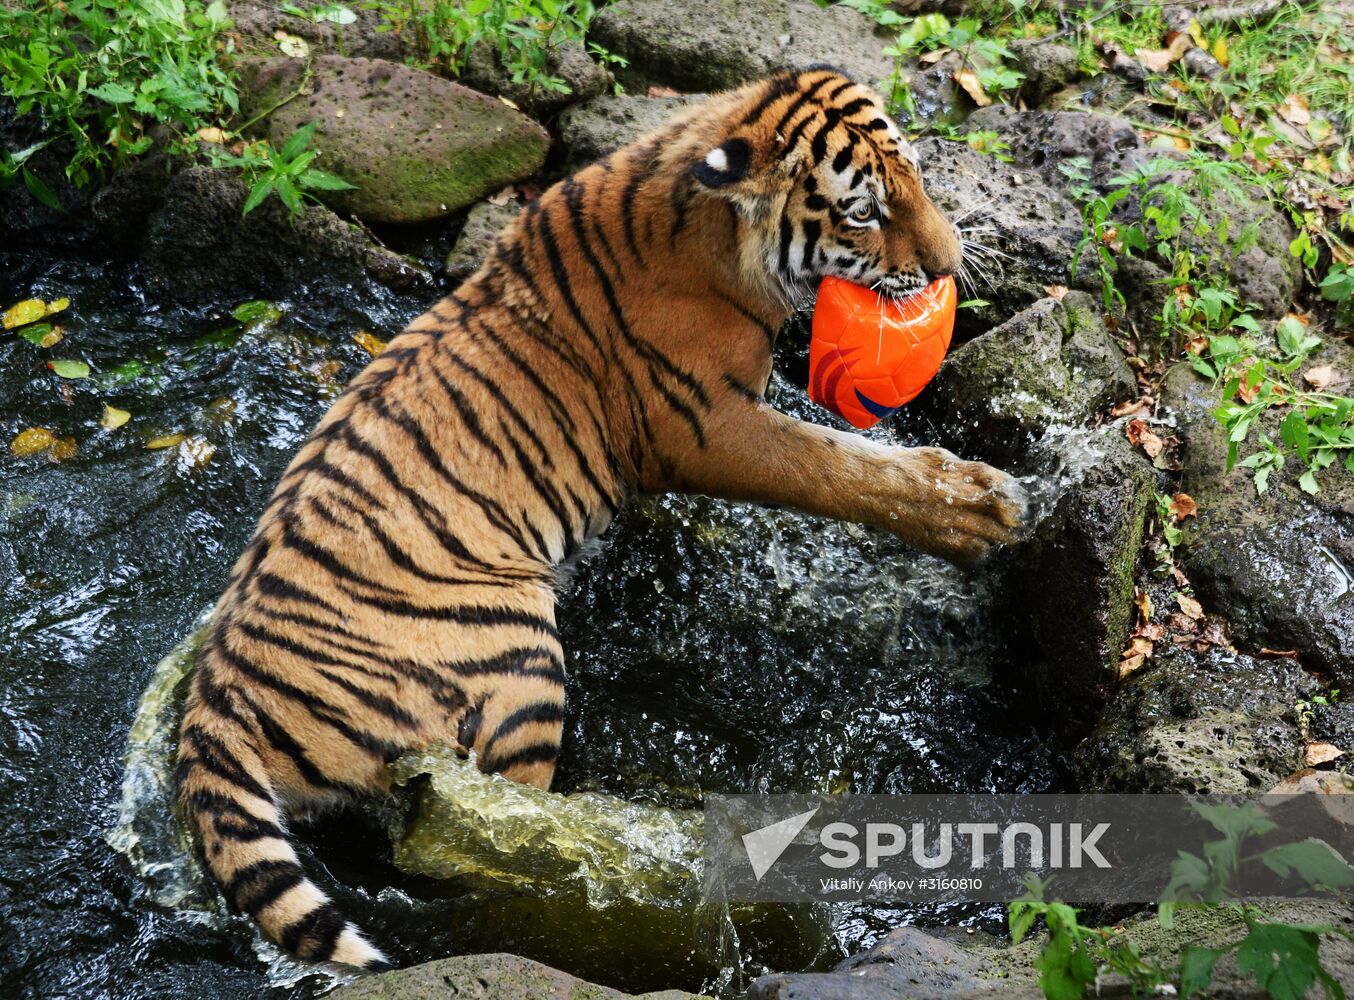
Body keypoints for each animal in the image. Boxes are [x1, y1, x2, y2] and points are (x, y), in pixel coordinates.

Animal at [174, 66, 1027, 970]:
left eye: (918, 179)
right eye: (864, 211)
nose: (952, 265)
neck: (707, 232)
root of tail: (214, 703)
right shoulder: (710, 428)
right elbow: (839, 467)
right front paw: (982, 509)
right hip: (518, 659)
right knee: (480, 824)